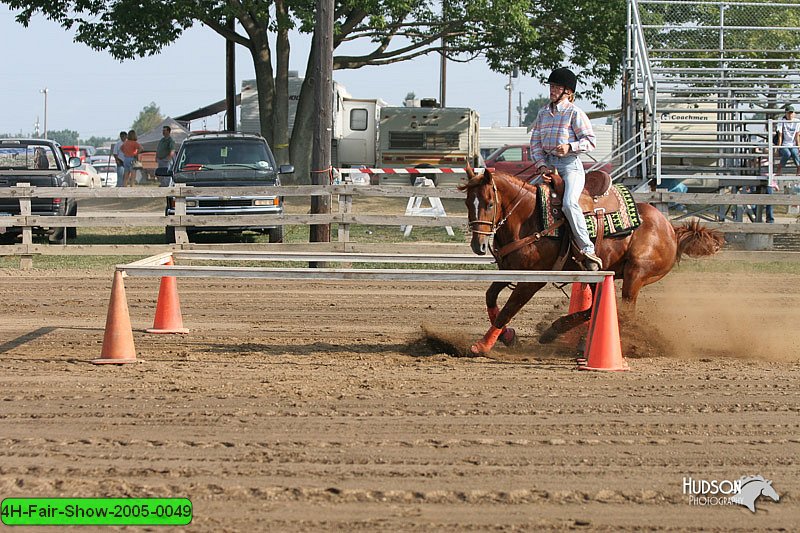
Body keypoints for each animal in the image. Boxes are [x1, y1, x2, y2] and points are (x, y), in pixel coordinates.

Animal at [456, 168, 724, 356]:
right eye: (468, 202)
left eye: (490, 203)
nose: (478, 245)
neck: (530, 217)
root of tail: (670, 228)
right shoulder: (512, 272)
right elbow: (490, 297)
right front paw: (508, 337)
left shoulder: (533, 281)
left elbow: (508, 310)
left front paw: (482, 345)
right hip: (602, 275)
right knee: (597, 306)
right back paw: (557, 332)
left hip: (636, 274)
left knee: (624, 311)